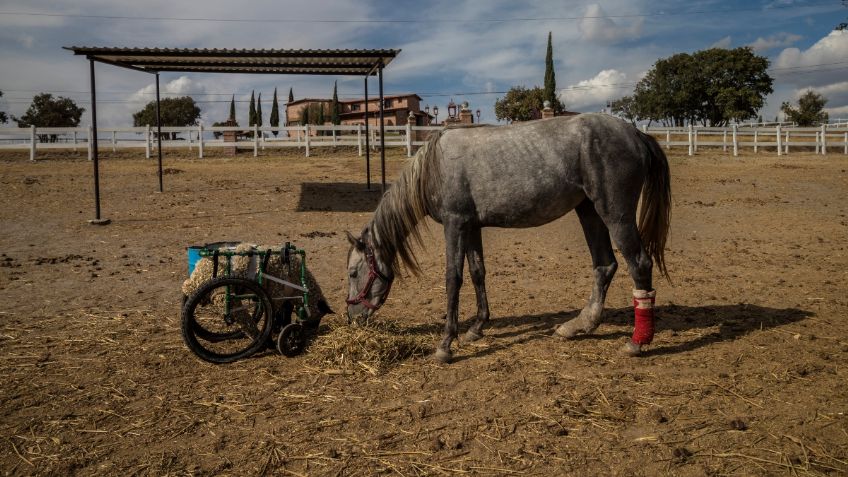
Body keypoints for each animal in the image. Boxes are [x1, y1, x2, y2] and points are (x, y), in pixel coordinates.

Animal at [344, 113, 668, 362]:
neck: (434, 167)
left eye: (352, 273)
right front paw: (477, 327)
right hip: (589, 211)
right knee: (604, 265)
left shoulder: (455, 224)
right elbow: (477, 272)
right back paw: (578, 326)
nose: (351, 317)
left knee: (639, 264)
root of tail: (636, 133)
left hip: (615, 213)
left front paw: (446, 344)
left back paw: (637, 341)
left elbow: (453, 279)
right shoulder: (471, 227)